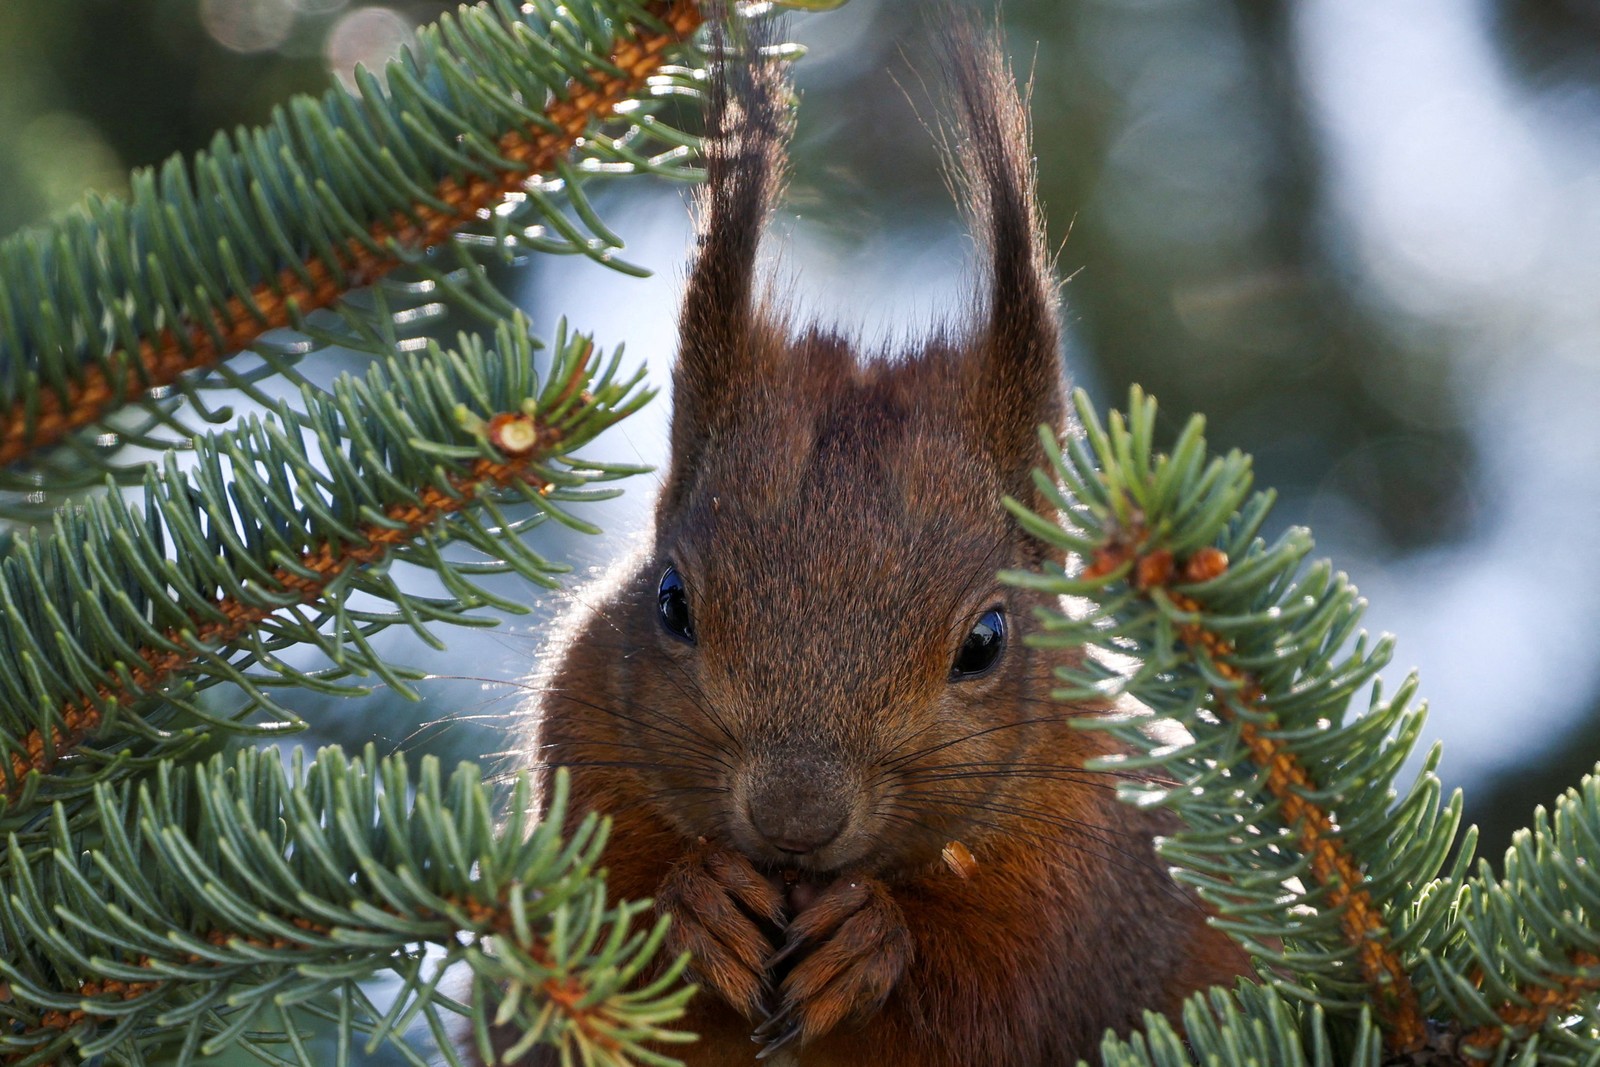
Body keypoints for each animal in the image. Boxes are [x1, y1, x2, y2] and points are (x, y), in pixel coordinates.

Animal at [510, 12, 1252, 1067]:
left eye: (986, 641)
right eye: (671, 602)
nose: (794, 816)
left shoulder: (1096, 869)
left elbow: (1000, 993)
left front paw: (871, 938)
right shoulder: (579, 762)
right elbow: (578, 945)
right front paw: (699, 905)